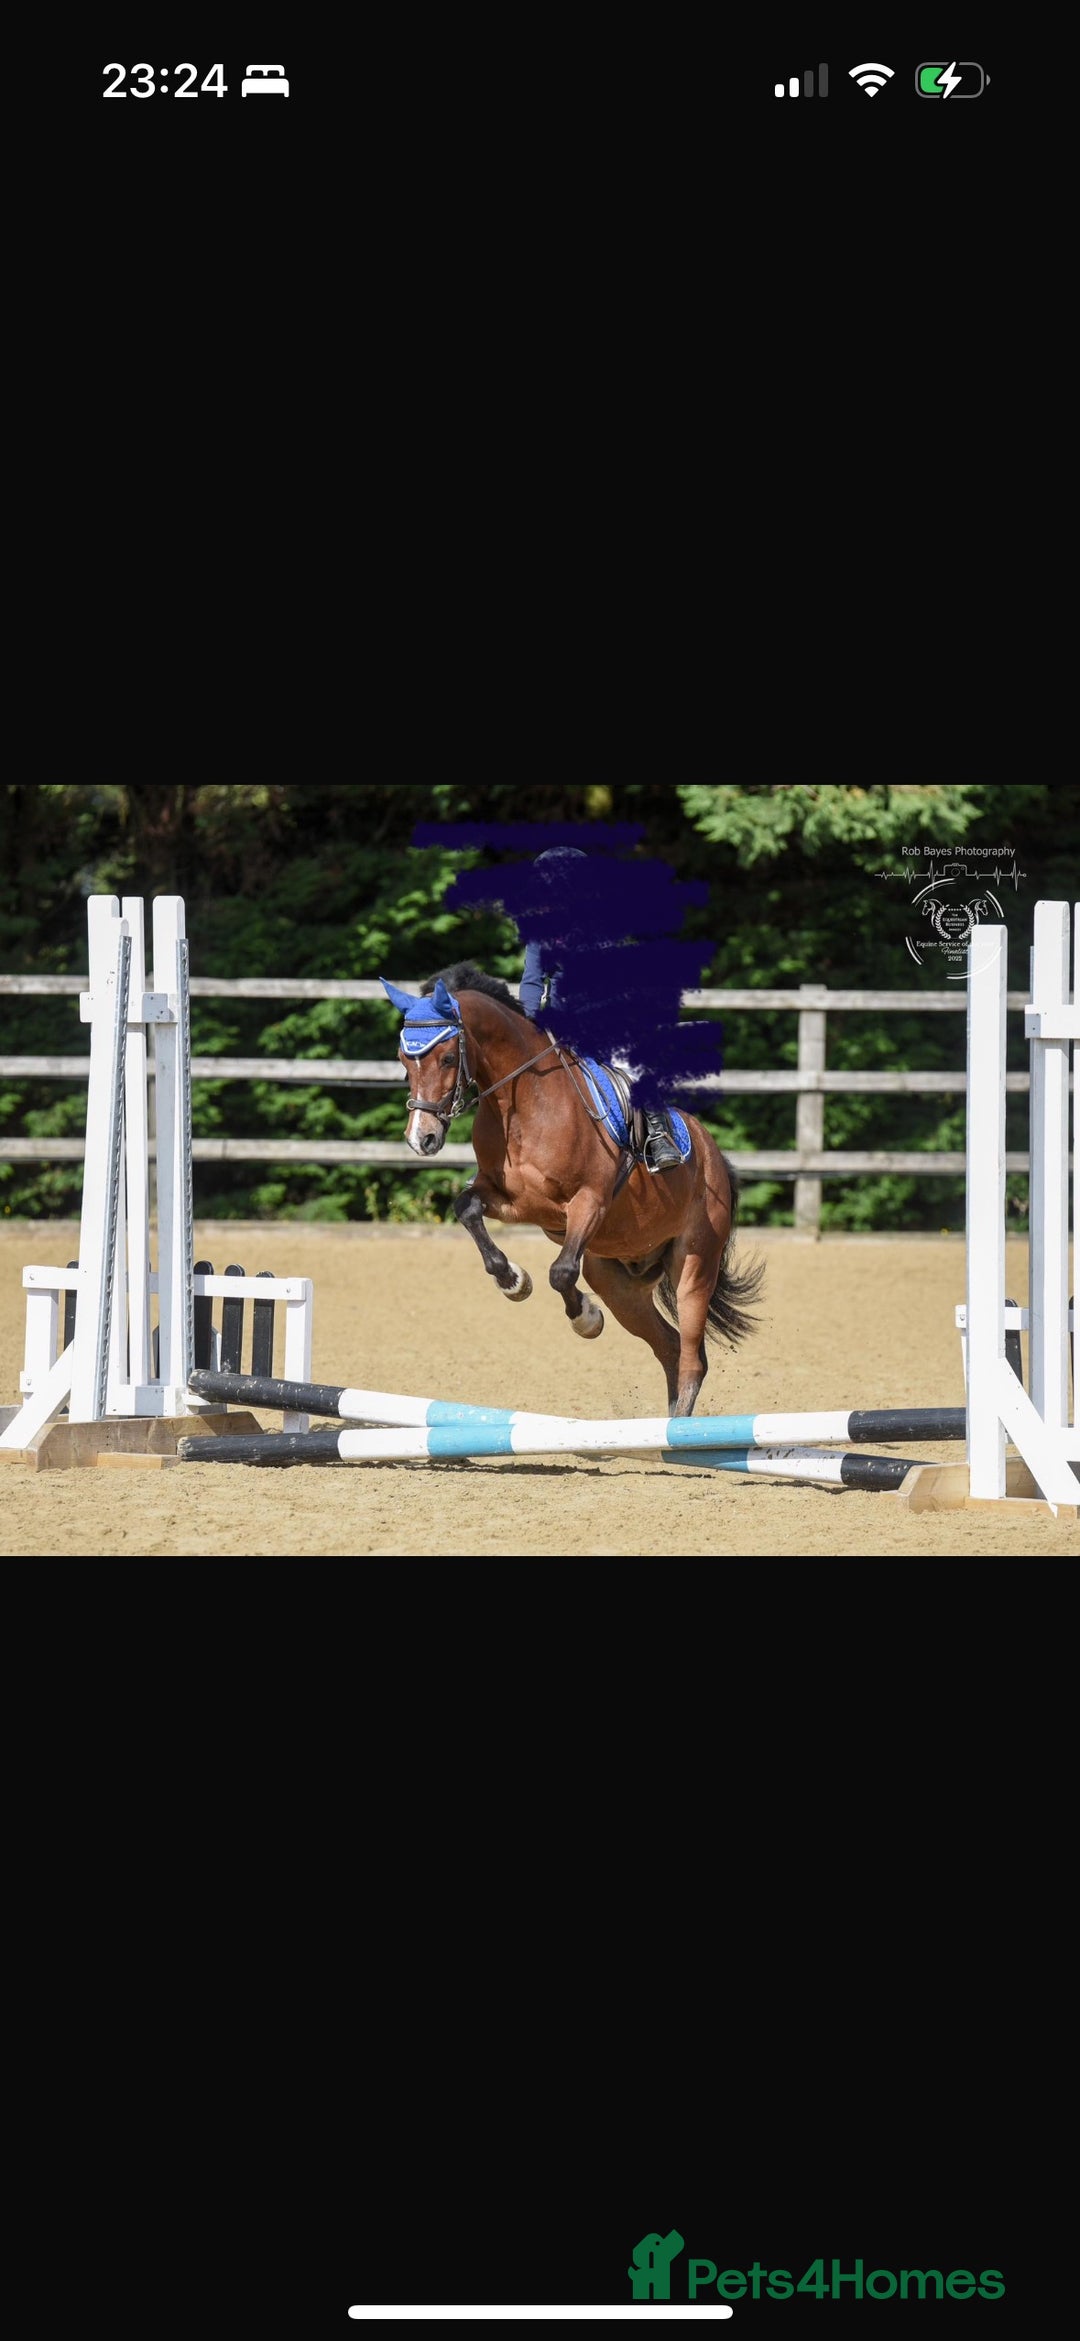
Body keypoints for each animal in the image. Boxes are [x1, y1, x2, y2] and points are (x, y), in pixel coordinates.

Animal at [382, 962, 764, 1419]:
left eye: (445, 1058)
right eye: (404, 1061)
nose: (422, 1139)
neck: (524, 1104)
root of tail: (715, 1155)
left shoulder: (589, 1202)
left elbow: (561, 1271)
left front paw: (585, 1319)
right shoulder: (514, 1202)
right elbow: (467, 1209)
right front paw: (513, 1281)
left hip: (694, 1263)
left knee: (692, 1356)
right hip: (619, 1282)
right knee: (669, 1347)